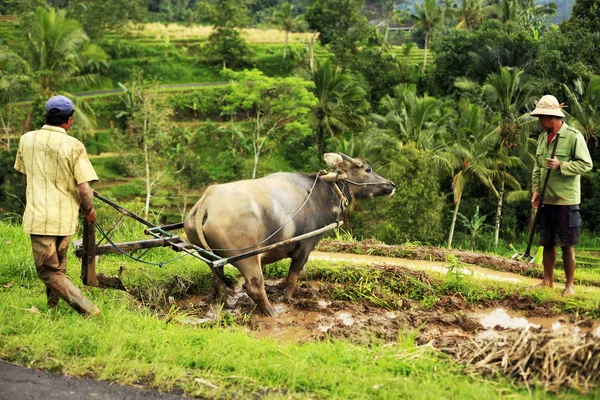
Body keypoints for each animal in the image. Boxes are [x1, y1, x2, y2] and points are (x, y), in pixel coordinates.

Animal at [185, 153, 396, 316]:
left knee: (218, 282)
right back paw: (271, 312)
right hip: (248, 258)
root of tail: (207, 199)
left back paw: (227, 305)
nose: (391, 184)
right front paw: (287, 298)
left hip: (211, 259)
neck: (323, 192)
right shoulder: (305, 246)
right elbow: (293, 275)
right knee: (255, 286)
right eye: (367, 169)